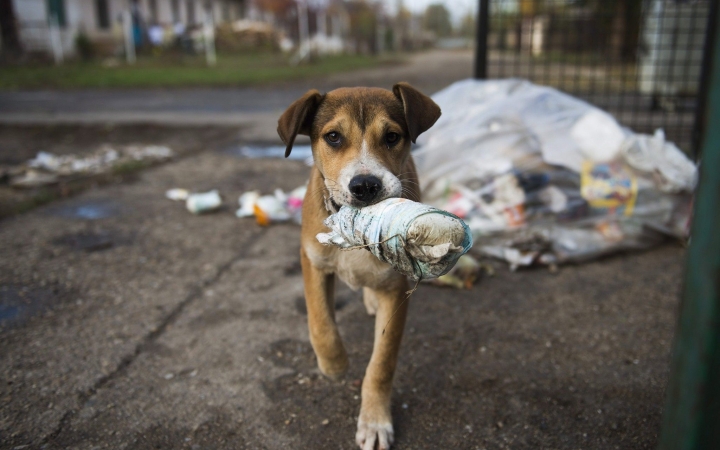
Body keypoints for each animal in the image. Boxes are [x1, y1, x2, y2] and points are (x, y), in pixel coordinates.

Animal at [278, 83, 442, 450]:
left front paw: (375, 421)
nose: (365, 185)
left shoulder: (397, 289)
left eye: (392, 136)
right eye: (333, 137)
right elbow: (320, 324)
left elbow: (382, 362)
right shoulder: (313, 261)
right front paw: (334, 364)